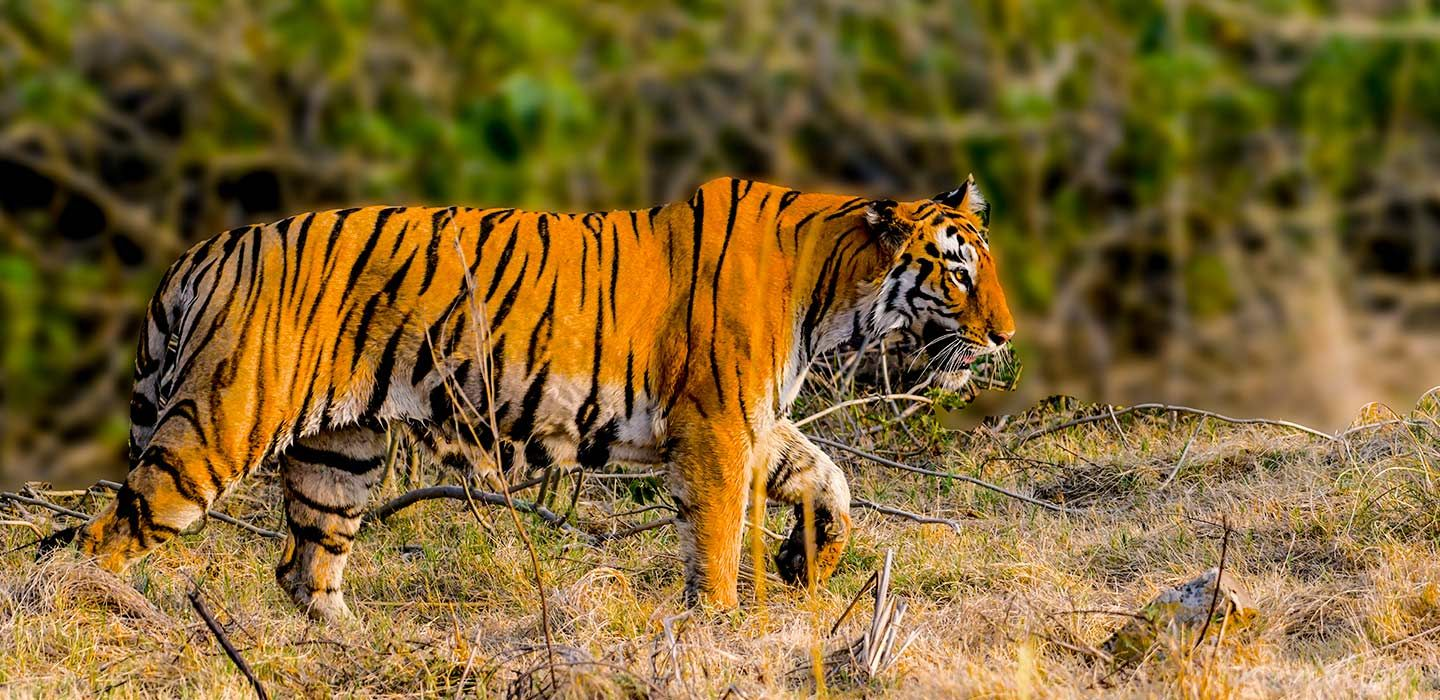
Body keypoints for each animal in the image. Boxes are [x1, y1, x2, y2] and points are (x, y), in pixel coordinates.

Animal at [74, 175, 1015, 621]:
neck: (833, 291)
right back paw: (107, 612)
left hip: (340, 453)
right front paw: (720, 623)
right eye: (957, 272)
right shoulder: (715, 425)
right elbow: (714, 539)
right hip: (218, 427)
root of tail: (207, 248)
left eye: (985, 264)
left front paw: (808, 560)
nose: (1006, 336)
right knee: (104, 535)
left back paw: (351, 643)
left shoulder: (752, 418)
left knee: (305, 570)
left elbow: (828, 476)